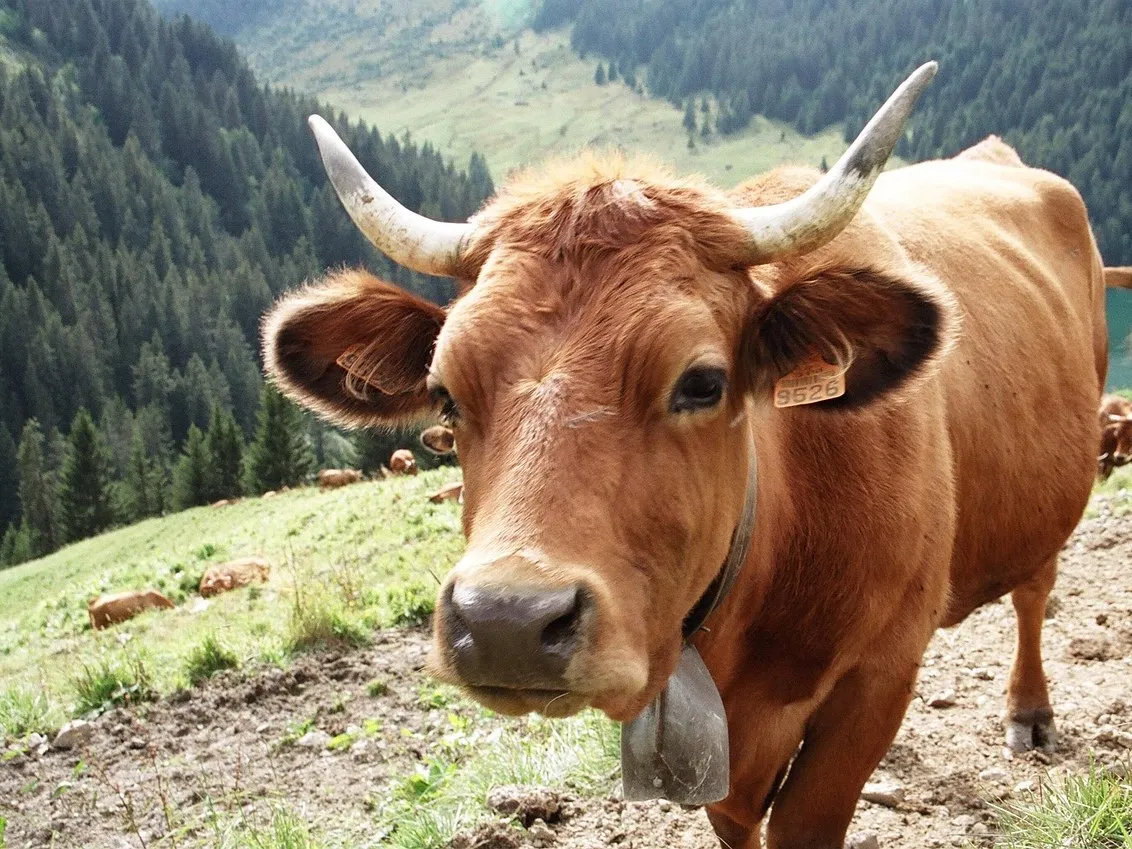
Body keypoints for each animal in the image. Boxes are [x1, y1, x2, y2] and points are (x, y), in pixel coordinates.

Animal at [261, 62, 1122, 847]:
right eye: (444, 392)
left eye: (702, 382)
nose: (507, 620)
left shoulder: (878, 673)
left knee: (1034, 590)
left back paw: (1030, 711)